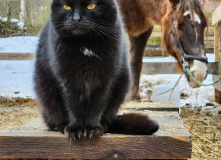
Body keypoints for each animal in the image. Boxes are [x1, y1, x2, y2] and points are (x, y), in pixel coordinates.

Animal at [33, 0, 159, 139]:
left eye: (91, 6)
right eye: (66, 7)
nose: (76, 19)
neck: (84, 44)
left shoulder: (105, 79)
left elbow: (97, 105)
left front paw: (92, 128)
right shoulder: (66, 79)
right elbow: (73, 105)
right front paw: (76, 129)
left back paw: (102, 126)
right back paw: (63, 126)